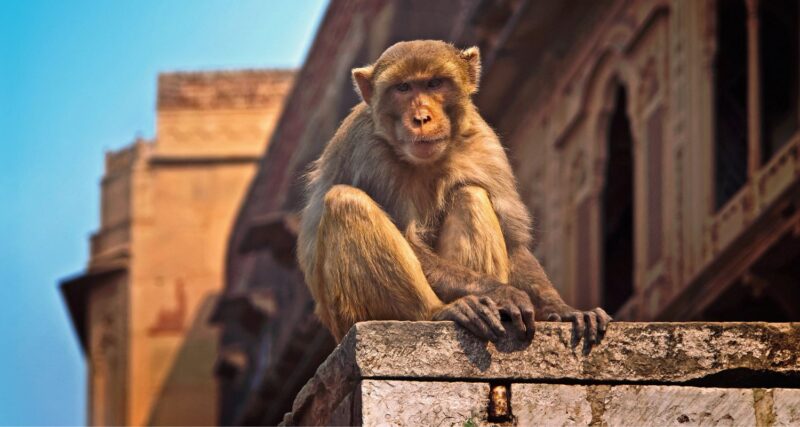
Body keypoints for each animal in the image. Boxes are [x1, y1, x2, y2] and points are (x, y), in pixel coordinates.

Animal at [296, 40, 608, 346]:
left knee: (471, 193)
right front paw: (500, 292)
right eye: (403, 88)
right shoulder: (367, 151)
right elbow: (409, 239)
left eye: (434, 83)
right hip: (347, 317)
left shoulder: (485, 144)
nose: (421, 117)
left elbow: (514, 243)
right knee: (345, 201)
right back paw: (440, 311)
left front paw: (562, 309)